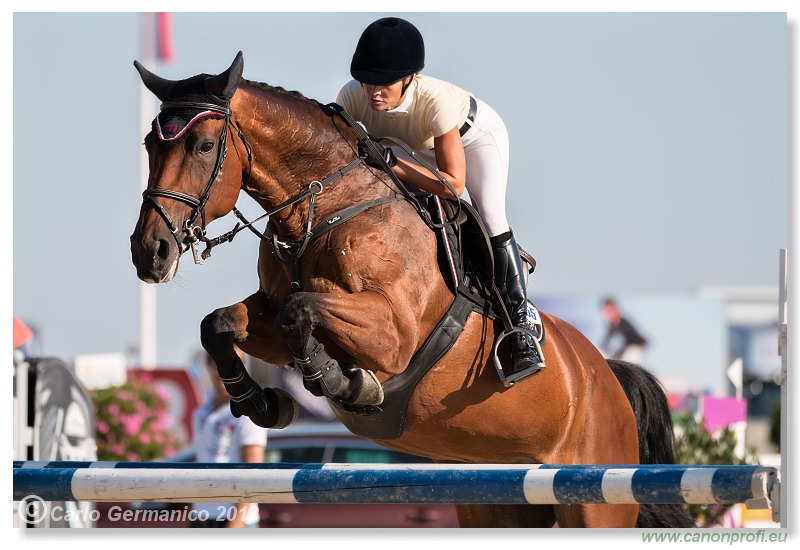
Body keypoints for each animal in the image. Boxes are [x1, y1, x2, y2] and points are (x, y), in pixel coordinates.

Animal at [130, 52, 692, 532]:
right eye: (150, 146)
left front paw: (342, 381)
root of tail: (606, 375)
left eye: (204, 146)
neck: (325, 207)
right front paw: (264, 403)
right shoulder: (268, 314)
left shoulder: (393, 335)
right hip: (497, 504)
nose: (149, 252)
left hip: (594, 500)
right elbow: (222, 323)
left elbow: (300, 310)